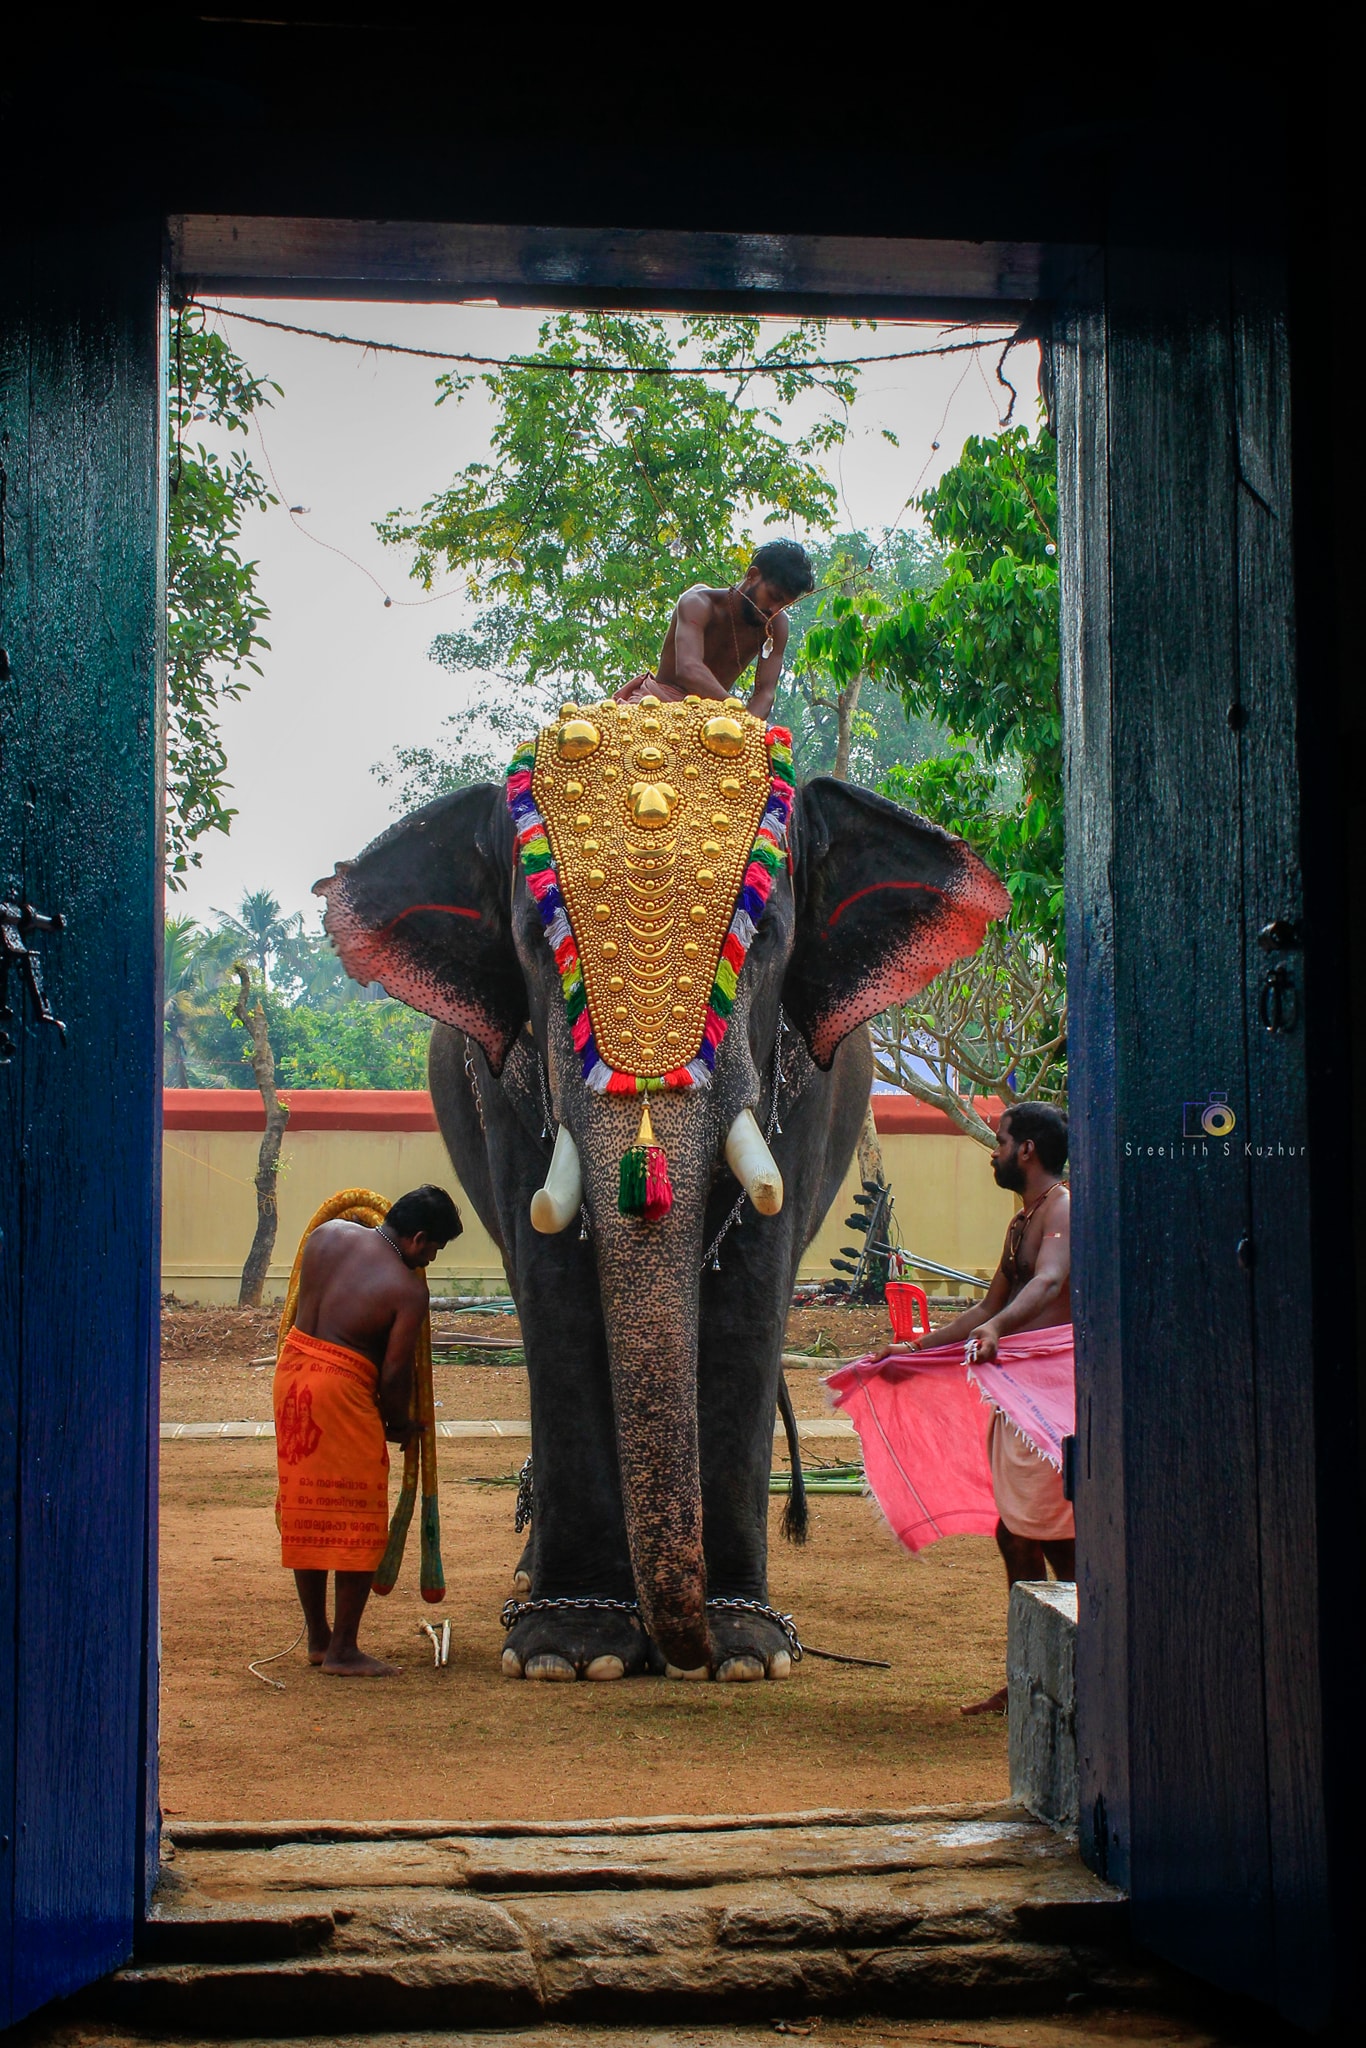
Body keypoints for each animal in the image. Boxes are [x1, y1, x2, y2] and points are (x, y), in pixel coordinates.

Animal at [317, 696, 1003, 1687]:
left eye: (766, 937)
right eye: (537, 945)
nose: (685, 1650)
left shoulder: (801, 1090)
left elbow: (752, 1291)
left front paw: (746, 1651)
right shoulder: (505, 1089)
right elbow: (556, 1287)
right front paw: (570, 1653)